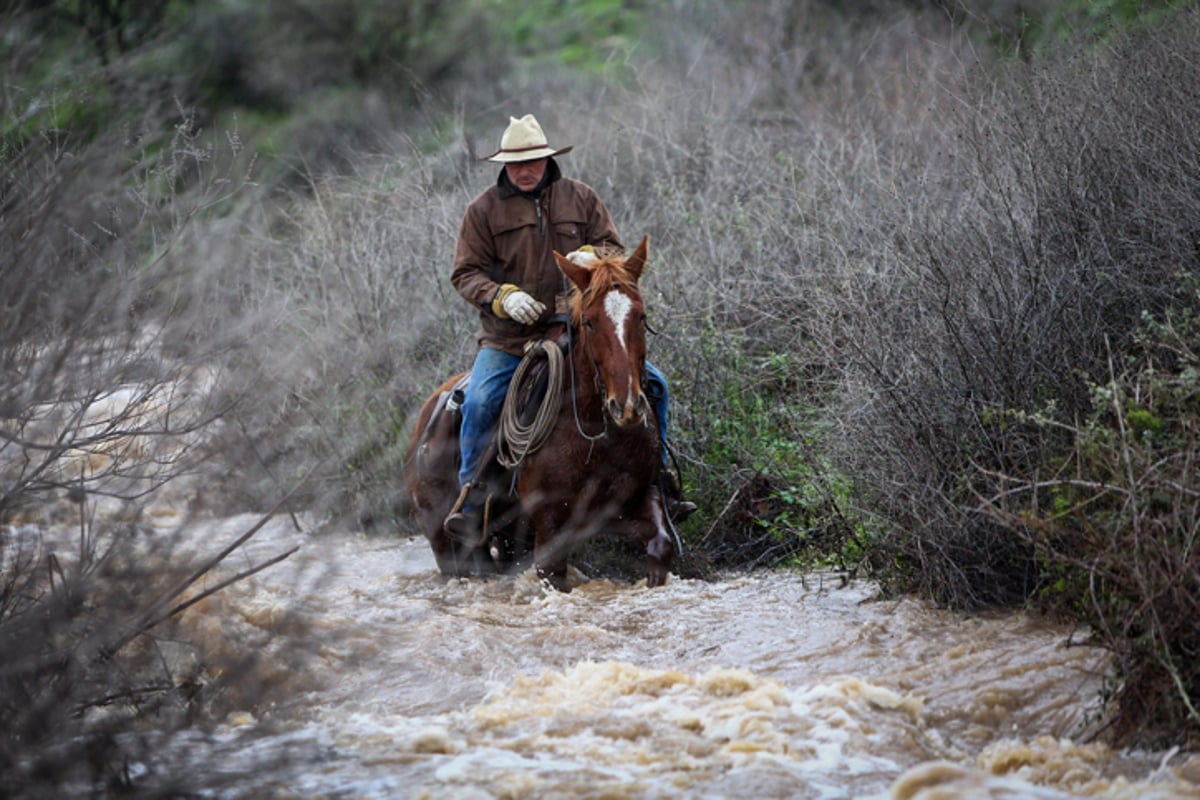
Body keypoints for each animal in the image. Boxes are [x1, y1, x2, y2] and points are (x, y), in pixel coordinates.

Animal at [405, 237, 676, 587]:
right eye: (589, 322)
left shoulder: (637, 498)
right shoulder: (550, 527)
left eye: (641, 317)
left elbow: (660, 546)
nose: (626, 406)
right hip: (444, 543)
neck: (593, 432)